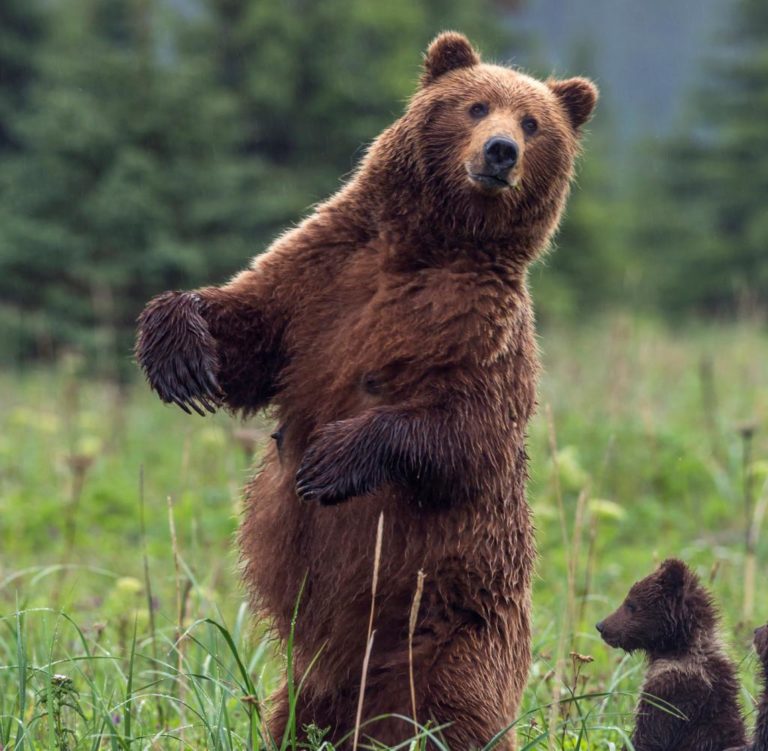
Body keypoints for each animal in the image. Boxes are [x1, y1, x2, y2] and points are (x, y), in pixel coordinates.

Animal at [135, 30, 596, 751]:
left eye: (532, 123)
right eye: (475, 105)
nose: (500, 151)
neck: (431, 244)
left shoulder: (483, 330)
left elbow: (469, 432)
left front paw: (333, 461)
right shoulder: (325, 274)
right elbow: (251, 329)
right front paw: (179, 350)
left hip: (457, 634)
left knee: (458, 714)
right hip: (308, 682)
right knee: (293, 717)